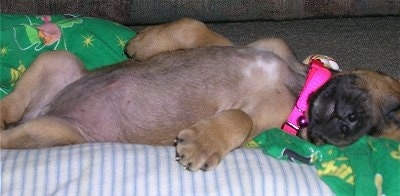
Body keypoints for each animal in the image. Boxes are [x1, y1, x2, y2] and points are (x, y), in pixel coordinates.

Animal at [0, 18, 400, 172]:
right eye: (395, 109)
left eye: (372, 134)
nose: (348, 125)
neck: (297, 85)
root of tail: (42, 111)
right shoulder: (253, 45)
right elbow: (193, 27)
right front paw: (143, 43)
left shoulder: (261, 122)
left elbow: (241, 118)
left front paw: (203, 144)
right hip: (57, 61)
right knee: (13, 106)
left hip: (51, 130)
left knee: (12, 136)